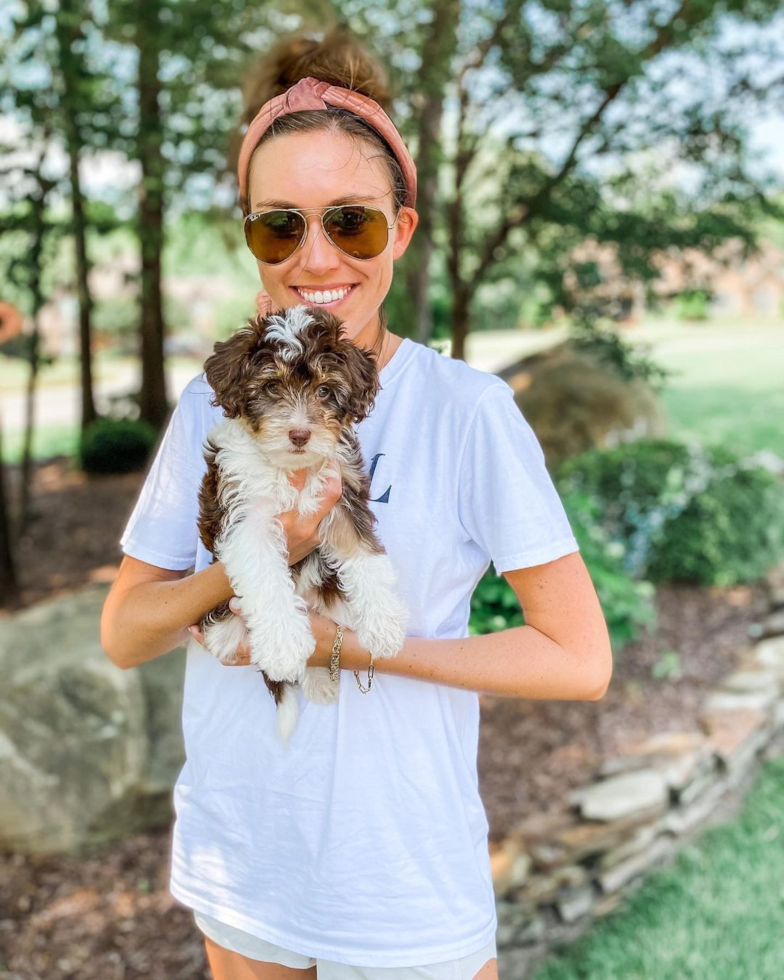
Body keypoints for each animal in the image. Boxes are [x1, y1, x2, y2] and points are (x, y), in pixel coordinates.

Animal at [195, 302, 408, 748]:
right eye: (272, 387)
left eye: (325, 391)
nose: (299, 434)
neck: (290, 468)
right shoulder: (246, 514)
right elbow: (263, 575)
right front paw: (282, 646)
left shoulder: (343, 495)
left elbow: (363, 555)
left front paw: (384, 624)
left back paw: (321, 681)